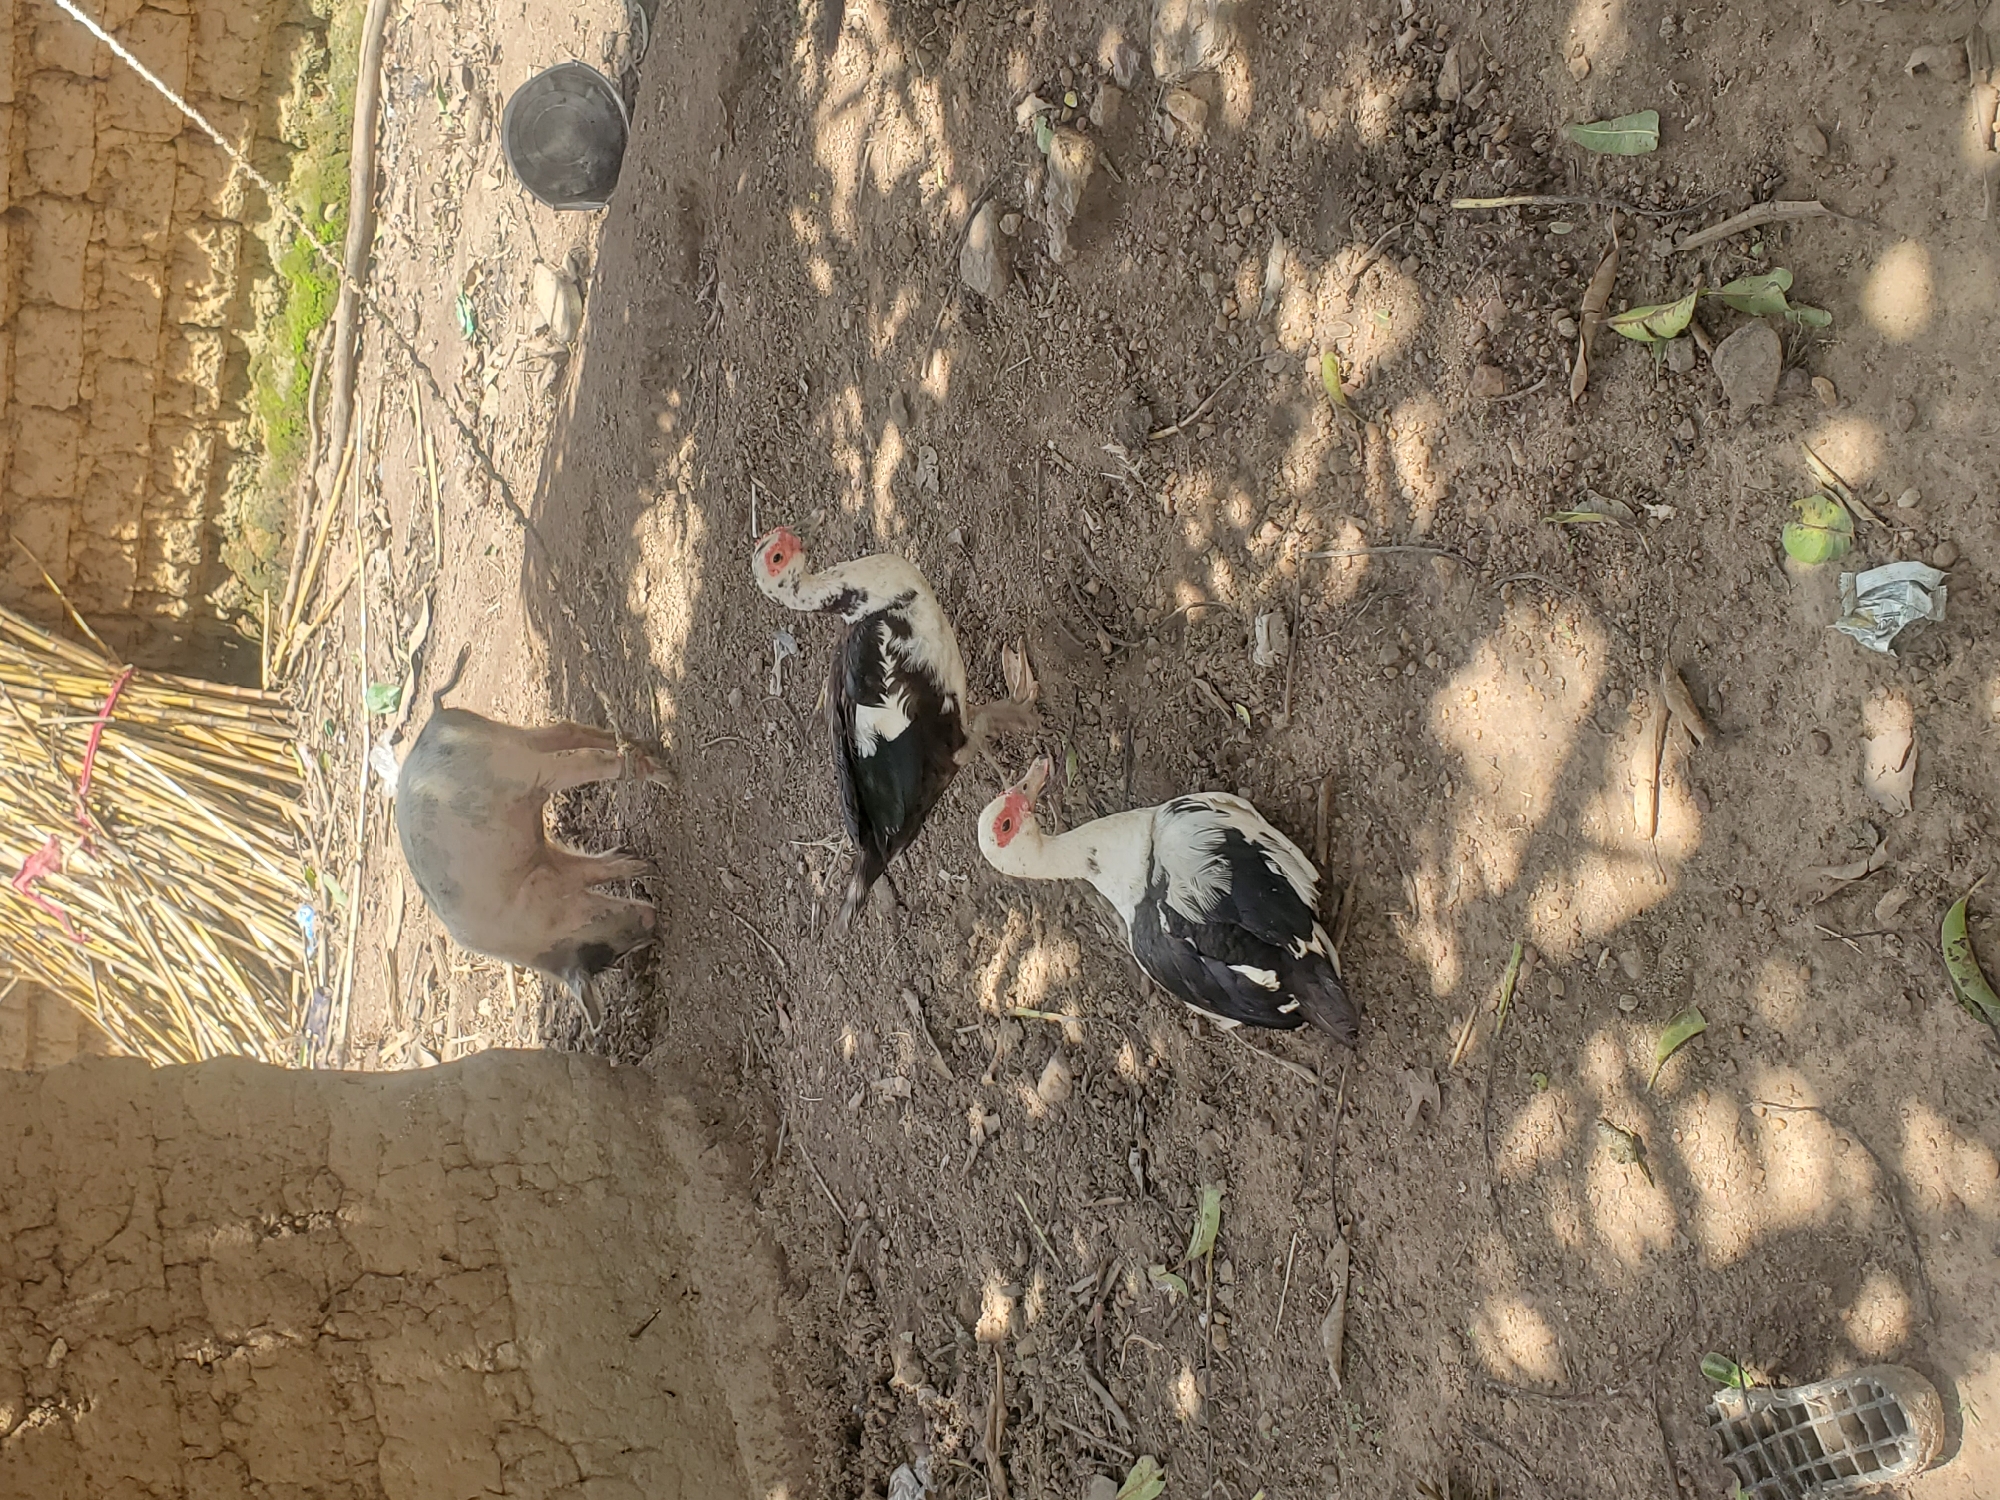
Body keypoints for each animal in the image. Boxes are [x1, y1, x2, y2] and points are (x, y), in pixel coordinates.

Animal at [394, 647, 665, 1009]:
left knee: (588, 759)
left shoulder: (542, 878)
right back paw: (645, 744)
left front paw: (644, 866)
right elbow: (589, 866)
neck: (536, 924)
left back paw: (663, 773)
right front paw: (635, 859)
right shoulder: (544, 858)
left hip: (522, 769)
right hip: (508, 738)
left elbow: (588, 873)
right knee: (564, 731)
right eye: (610, 955)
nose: (654, 921)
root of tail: (435, 722)